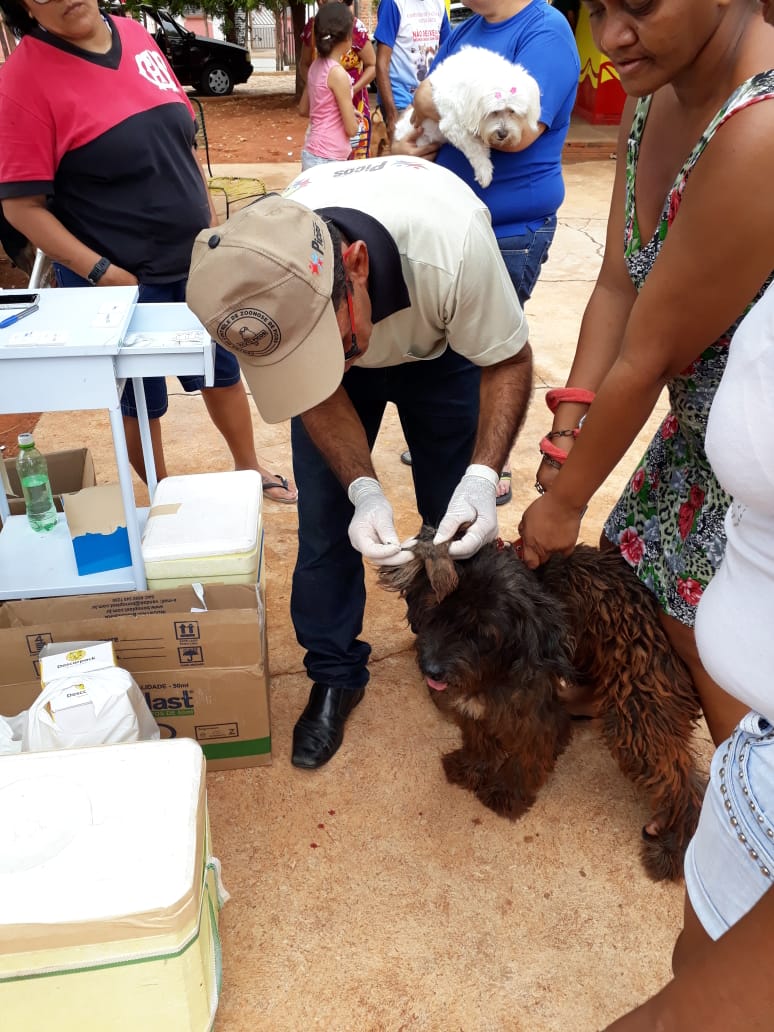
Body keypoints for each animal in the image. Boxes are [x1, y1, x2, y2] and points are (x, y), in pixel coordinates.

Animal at [381, 532, 710, 879]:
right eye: (434, 612)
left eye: (481, 633)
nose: (431, 670)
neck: (501, 665)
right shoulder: (477, 702)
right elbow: (478, 736)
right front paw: (472, 767)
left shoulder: (538, 715)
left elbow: (528, 754)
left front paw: (506, 793)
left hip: (635, 714)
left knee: (683, 781)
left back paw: (673, 848)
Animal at [396, 46, 540, 189]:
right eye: (493, 111)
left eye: (512, 111)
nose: (503, 134)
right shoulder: (453, 125)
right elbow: (475, 148)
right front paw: (484, 170)